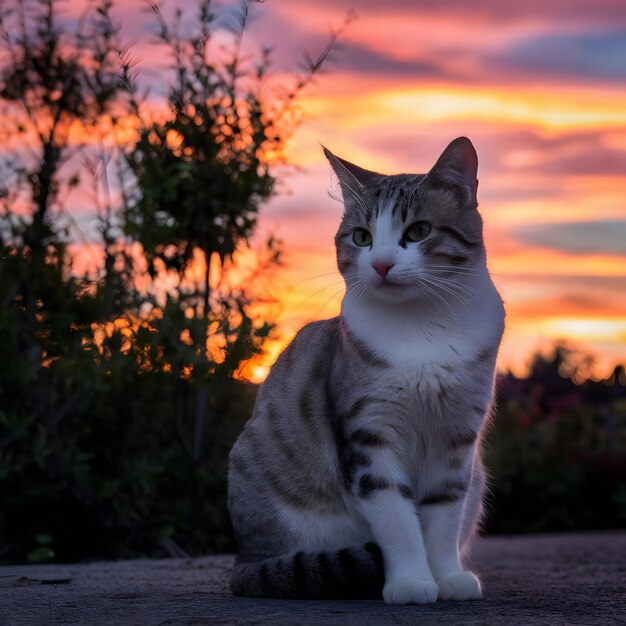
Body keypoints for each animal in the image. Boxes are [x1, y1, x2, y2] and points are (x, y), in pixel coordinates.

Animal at [227, 138, 504, 604]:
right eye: (362, 237)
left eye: (418, 231)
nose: (381, 264)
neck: (421, 327)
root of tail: (242, 561)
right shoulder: (368, 434)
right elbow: (396, 518)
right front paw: (411, 581)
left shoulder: (456, 437)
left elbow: (444, 516)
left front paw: (447, 577)